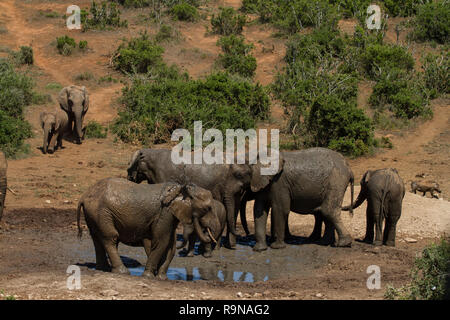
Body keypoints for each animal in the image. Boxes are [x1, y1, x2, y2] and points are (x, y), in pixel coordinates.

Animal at [77, 179, 216, 278]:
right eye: (207, 208)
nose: (209, 237)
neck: (181, 187)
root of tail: (84, 196)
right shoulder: (165, 213)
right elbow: (161, 242)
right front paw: (149, 276)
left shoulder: (169, 216)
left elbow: (170, 245)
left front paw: (161, 278)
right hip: (102, 212)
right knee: (110, 238)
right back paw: (122, 272)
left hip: (94, 214)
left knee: (97, 239)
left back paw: (103, 269)